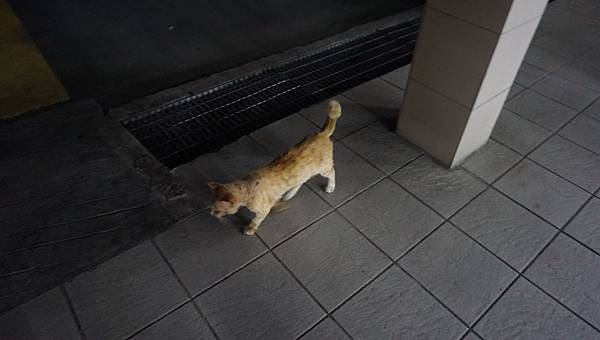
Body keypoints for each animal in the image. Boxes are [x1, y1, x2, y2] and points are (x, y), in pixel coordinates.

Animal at [209, 99, 342, 235]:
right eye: (212, 207)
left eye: (217, 210)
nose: (211, 214)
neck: (248, 185)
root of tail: (322, 134)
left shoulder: (263, 209)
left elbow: (257, 219)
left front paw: (251, 228)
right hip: (305, 171)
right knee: (301, 180)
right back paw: (289, 194)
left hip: (323, 168)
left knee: (332, 172)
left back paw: (330, 187)